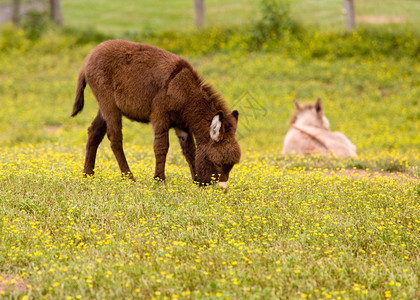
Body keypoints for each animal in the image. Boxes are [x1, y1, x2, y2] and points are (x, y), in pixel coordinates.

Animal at [71, 39, 241, 185]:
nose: (221, 189)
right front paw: (159, 181)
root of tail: (89, 57)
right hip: (108, 103)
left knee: (94, 132)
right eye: (218, 163)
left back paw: (88, 175)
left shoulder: (182, 124)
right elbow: (161, 147)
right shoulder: (160, 117)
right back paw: (129, 178)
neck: (181, 89)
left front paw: (195, 181)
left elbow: (189, 150)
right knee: (115, 138)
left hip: (105, 107)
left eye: (231, 165)